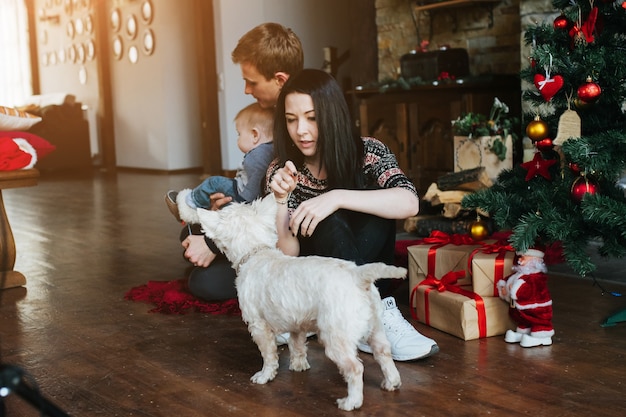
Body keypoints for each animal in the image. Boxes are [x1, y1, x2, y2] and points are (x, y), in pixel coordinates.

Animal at [199, 194, 404, 410]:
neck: (257, 252)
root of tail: (358, 275)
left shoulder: (259, 326)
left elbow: (268, 355)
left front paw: (264, 376)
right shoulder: (296, 323)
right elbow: (297, 345)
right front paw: (299, 366)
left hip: (336, 337)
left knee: (355, 367)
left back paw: (351, 402)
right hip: (376, 328)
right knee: (384, 352)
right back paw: (392, 382)